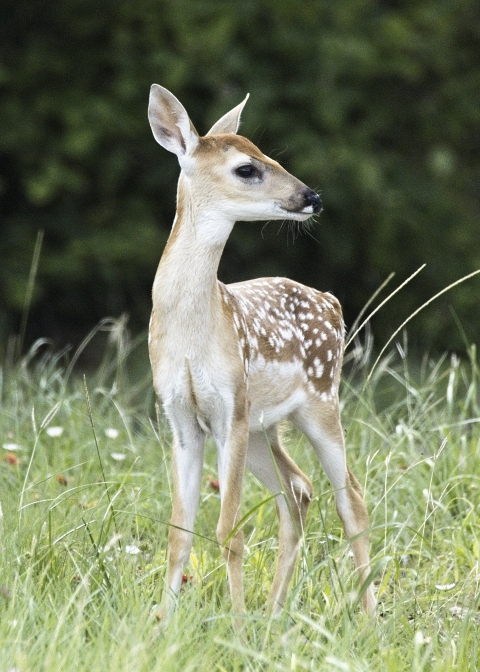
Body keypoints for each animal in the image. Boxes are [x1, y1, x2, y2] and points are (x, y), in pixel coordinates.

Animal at [147, 84, 376, 622]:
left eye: (268, 153)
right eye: (246, 168)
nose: (311, 197)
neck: (193, 332)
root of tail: (332, 300)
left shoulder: (230, 407)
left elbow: (228, 531)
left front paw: (234, 625)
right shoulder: (182, 418)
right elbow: (178, 535)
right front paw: (163, 625)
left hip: (321, 401)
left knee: (350, 498)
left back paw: (371, 618)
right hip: (263, 428)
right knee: (297, 491)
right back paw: (274, 614)